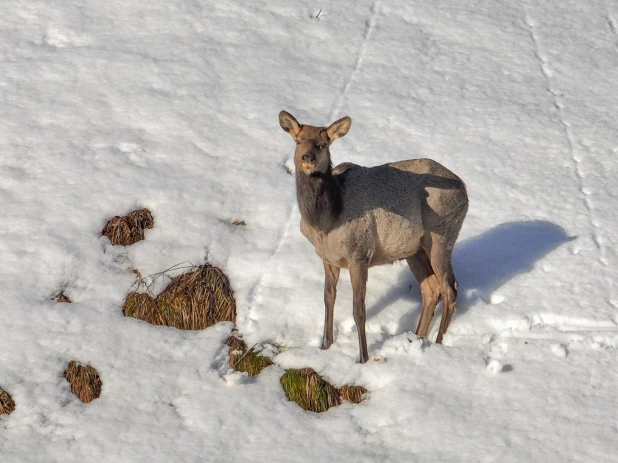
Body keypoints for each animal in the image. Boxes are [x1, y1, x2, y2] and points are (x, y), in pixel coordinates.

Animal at [280, 110, 466, 364]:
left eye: (323, 144)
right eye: (298, 141)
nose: (307, 158)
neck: (327, 221)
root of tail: (465, 190)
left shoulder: (359, 255)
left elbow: (359, 310)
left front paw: (363, 358)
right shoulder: (328, 259)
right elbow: (328, 300)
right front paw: (324, 347)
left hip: (442, 235)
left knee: (450, 289)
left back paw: (437, 344)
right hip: (414, 250)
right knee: (431, 289)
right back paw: (416, 339)